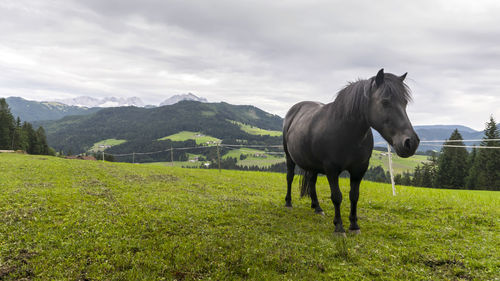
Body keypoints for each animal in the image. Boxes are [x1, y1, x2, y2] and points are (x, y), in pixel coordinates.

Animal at [284, 68, 420, 234]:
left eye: (405, 103)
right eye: (385, 102)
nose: (411, 142)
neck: (345, 131)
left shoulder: (359, 169)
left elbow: (354, 196)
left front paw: (354, 225)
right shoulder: (331, 170)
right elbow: (336, 196)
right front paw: (339, 227)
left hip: (313, 165)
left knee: (312, 182)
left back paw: (317, 208)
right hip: (289, 157)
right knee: (290, 177)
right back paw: (288, 203)